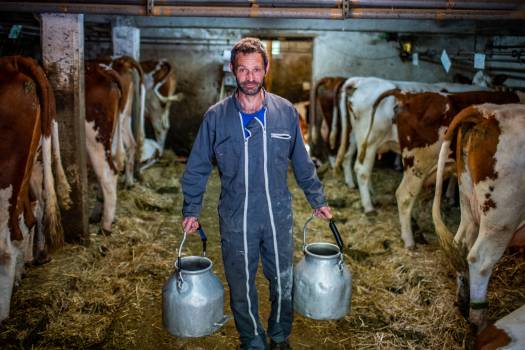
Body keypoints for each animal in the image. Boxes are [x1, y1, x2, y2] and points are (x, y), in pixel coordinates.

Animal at [338, 76, 490, 213]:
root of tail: (360, 80)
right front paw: (451, 197)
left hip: (357, 137)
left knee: (348, 156)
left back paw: (356, 185)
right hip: (371, 139)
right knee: (362, 170)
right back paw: (369, 206)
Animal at [432, 102, 524, 330]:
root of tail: (485, 112)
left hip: (468, 204)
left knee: (460, 244)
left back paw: (463, 302)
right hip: (501, 219)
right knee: (479, 259)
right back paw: (479, 321)